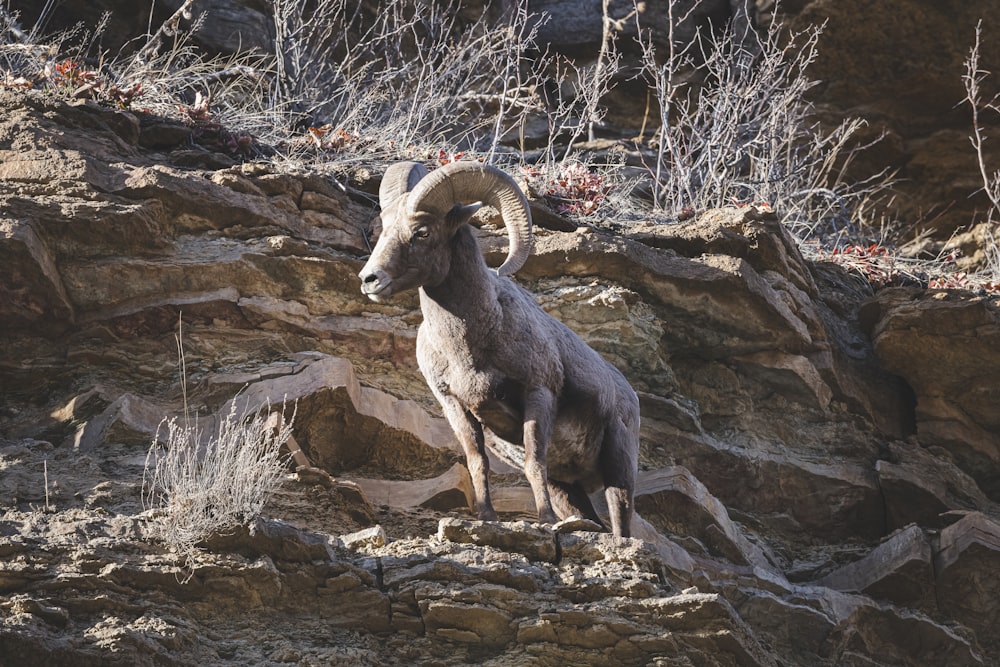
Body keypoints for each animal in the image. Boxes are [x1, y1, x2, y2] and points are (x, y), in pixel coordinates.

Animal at [360, 162, 640, 536]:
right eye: (383, 229)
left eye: (422, 232)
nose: (370, 279)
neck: (469, 348)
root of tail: (628, 393)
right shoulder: (456, 407)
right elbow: (477, 462)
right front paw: (486, 517)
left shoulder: (538, 393)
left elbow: (534, 463)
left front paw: (546, 521)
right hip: (567, 487)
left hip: (618, 465)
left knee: (620, 521)